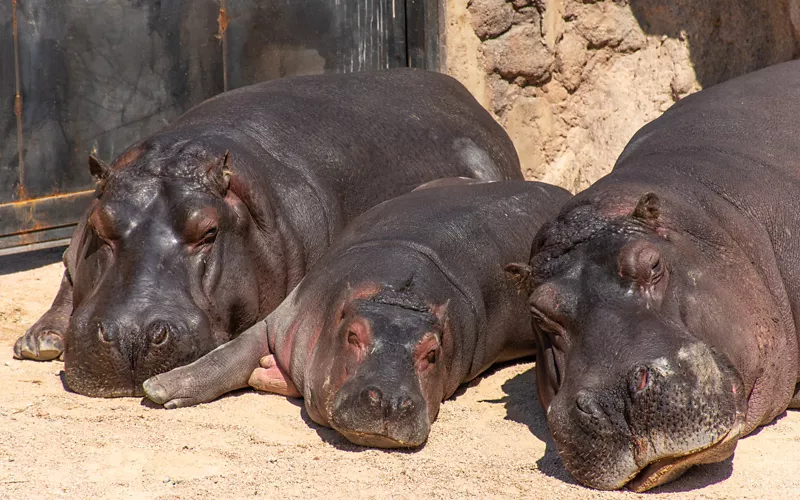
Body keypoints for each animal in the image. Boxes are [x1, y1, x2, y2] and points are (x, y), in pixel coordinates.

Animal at [14, 69, 524, 398]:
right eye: (101, 225)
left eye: (208, 230)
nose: (129, 336)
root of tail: (474, 104)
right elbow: (67, 271)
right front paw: (38, 342)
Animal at [142, 182, 568, 448]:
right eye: (353, 336)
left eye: (432, 353)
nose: (390, 401)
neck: (397, 294)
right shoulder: (283, 317)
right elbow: (229, 355)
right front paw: (159, 389)